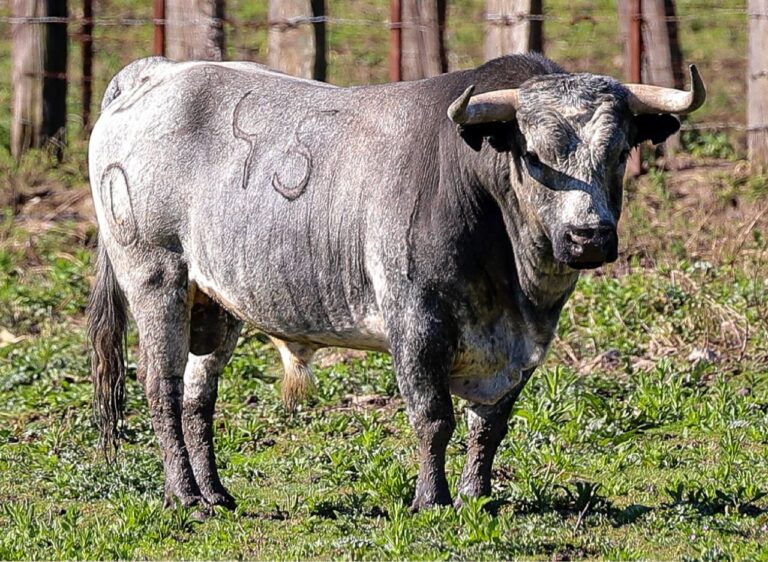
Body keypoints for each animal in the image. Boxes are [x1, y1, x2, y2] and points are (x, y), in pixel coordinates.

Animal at [87, 53, 705, 513]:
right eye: (533, 152)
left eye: (620, 151)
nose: (588, 237)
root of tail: (153, 73)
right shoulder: (416, 321)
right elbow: (434, 418)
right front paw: (431, 500)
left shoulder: (519, 348)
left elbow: (489, 425)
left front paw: (476, 497)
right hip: (156, 279)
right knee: (161, 389)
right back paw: (185, 496)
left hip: (214, 306)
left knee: (198, 398)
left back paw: (216, 492)